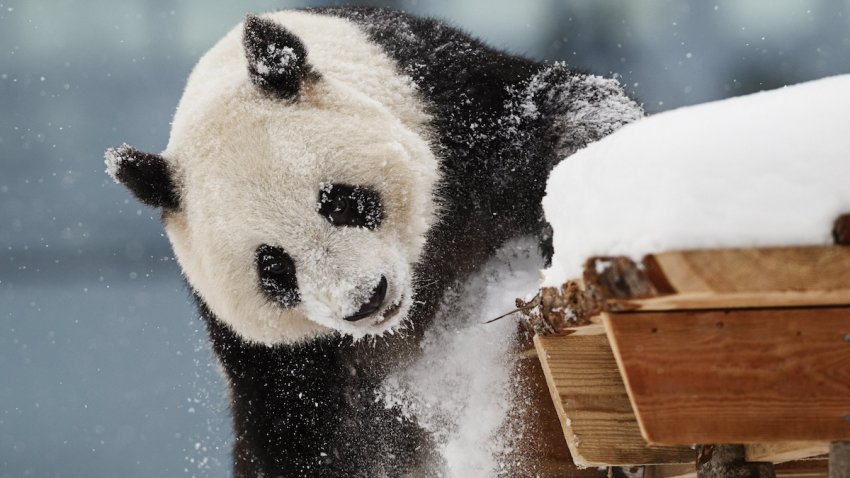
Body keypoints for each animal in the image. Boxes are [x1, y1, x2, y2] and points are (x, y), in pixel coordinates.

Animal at [102, 7, 640, 478]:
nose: (364, 300)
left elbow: (560, 112)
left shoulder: (452, 111)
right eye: (274, 268)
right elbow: (309, 442)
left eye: (339, 203)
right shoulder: (274, 358)